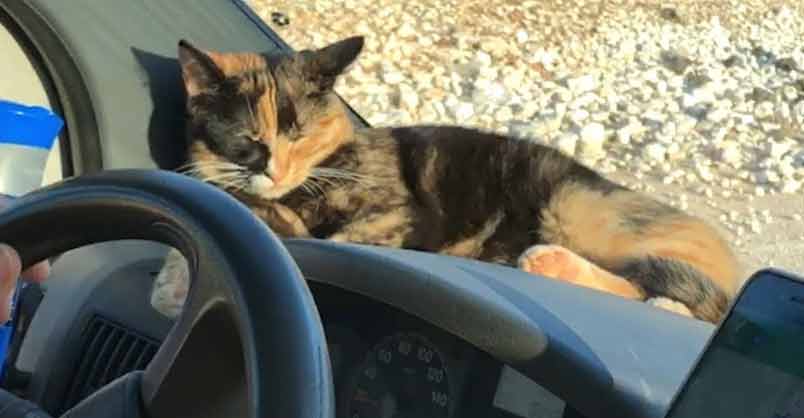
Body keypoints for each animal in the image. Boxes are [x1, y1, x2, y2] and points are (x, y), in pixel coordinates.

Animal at [149, 36, 740, 324]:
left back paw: (554, 264)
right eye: (247, 136)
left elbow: (319, 240)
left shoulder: (393, 214)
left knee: (667, 293)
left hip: (576, 206)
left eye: (298, 131)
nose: (269, 167)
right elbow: (227, 212)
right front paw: (176, 279)